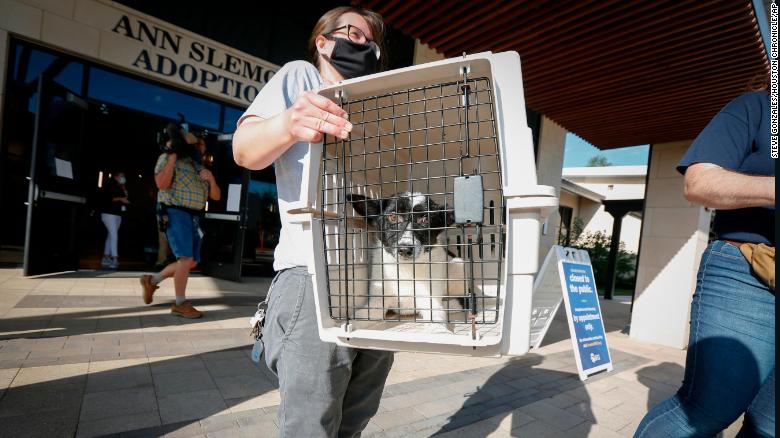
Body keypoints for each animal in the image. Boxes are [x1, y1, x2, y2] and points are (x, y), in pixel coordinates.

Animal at [348, 192, 464, 322]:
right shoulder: (377, 300)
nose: (404, 250)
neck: (406, 269)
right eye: (393, 217)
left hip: (458, 264)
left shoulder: (431, 303)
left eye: (425, 219)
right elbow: (365, 313)